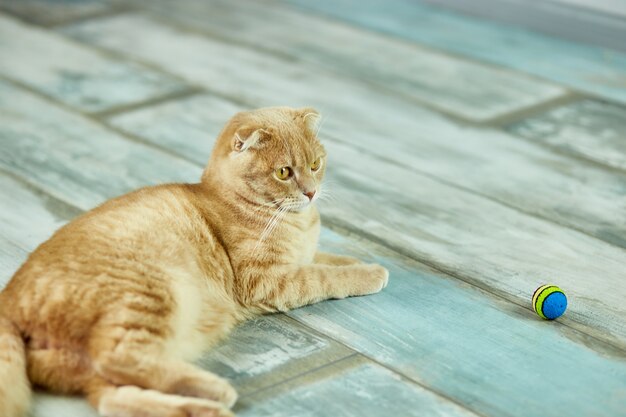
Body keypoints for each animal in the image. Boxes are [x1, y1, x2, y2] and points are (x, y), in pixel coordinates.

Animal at [0, 106, 388, 416]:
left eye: (315, 165)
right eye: (283, 173)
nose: (311, 192)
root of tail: (9, 300)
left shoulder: (303, 255)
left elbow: (329, 259)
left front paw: (357, 262)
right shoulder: (268, 281)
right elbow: (322, 276)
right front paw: (371, 273)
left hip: (85, 368)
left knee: (114, 398)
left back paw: (201, 408)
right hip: (148, 294)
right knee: (118, 357)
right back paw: (218, 390)